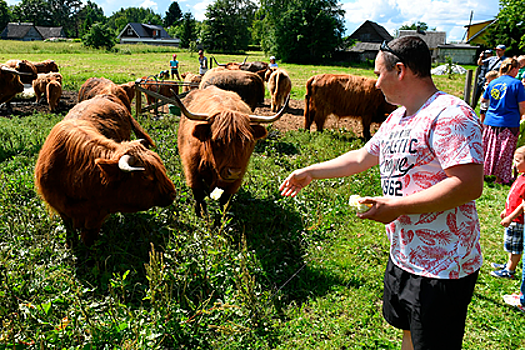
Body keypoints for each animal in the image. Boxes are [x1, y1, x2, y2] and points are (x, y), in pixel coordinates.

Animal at [34, 119, 176, 245]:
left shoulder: (97, 215)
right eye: (146, 176)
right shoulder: (61, 209)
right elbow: (69, 229)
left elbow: (89, 237)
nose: (173, 194)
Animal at [173, 85, 288, 216]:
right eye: (217, 140)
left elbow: (224, 202)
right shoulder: (192, 172)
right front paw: (200, 214)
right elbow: (199, 197)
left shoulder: (235, 181)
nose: (233, 172)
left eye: (247, 141)